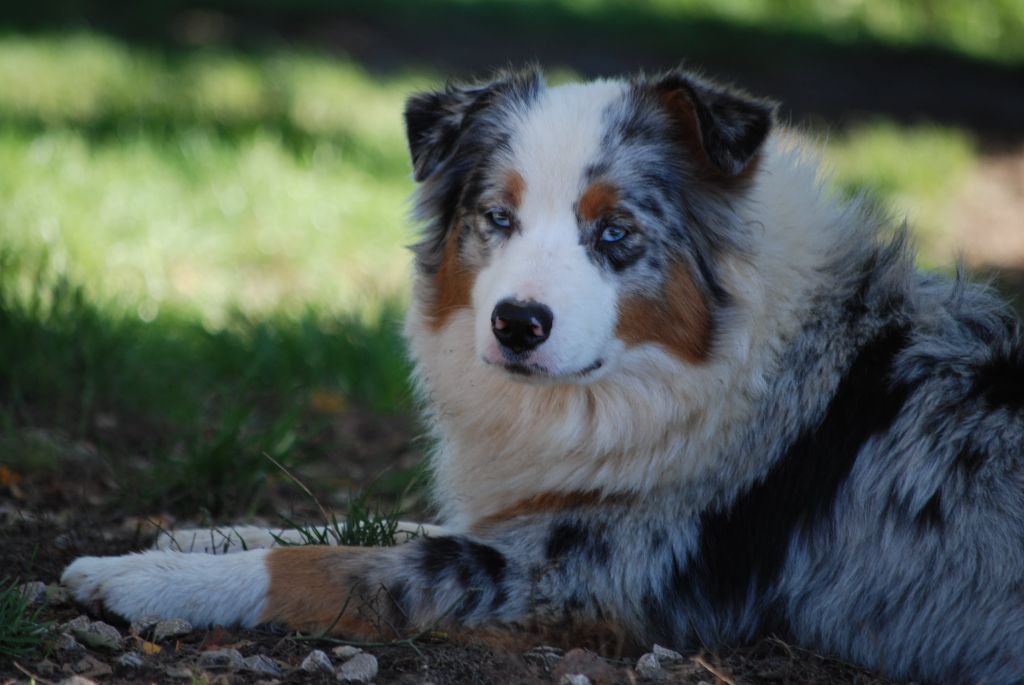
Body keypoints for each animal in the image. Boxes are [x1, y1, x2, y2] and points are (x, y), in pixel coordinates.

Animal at [61, 68, 1024, 683]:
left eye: (615, 233)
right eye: (499, 215)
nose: (517, 323)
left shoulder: (600, 571)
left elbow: (339, 562)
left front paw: (144, 578)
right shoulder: (541, 504)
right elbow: (343, 522)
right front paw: (184, 535)